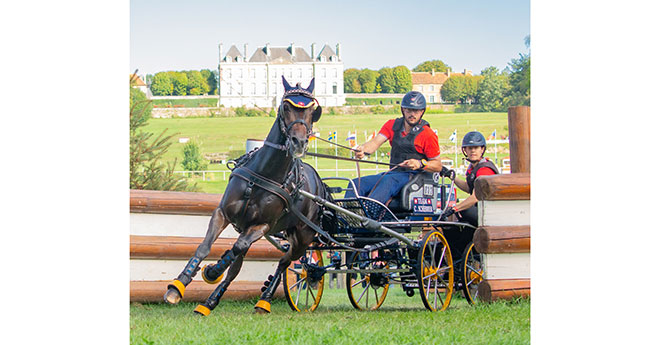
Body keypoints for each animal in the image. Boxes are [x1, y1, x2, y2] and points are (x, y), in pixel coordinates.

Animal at [163, 76, 328, 316]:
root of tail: (319, 183)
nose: (298, 142)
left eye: (313, 111)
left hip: (302, 238)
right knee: (244, 265)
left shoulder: (261, 226)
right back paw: (209, 302)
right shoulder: (222, 213)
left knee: (285, 262)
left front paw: (212, 271)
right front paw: (178, 286)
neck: (264, 174)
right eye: (286, 107)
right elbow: (205, 246)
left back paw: (265, 299)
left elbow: (236, 250)